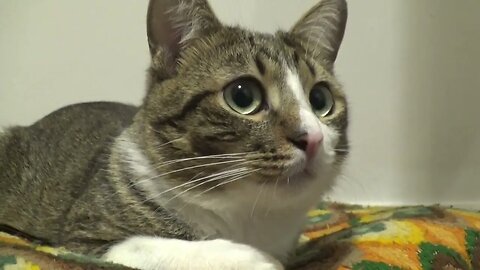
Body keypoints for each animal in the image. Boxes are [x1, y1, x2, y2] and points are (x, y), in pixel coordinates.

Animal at [0, 0, 346, 270]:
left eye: (320, 100)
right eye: (243, 96)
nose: (312, 138)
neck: (247, 213)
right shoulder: (87, 236)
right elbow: (154, 244)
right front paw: (257, 259)